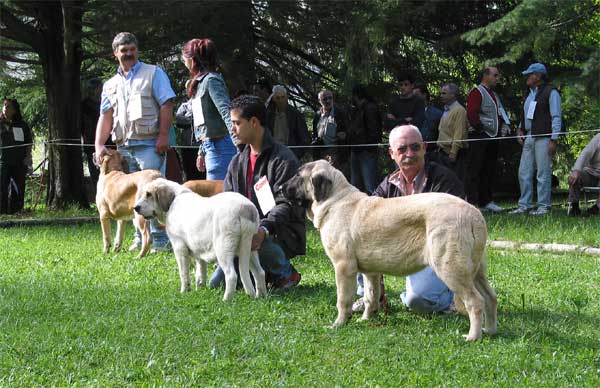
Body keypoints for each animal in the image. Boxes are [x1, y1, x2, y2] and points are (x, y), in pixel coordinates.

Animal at [137, 177, 268, 302]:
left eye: (149, 194)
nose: (136, 207)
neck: (173, 200)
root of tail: (246, 208)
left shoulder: (179, 247)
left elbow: (184, 273)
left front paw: (184, 292)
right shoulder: (199, 251)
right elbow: (200, 272)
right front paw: (200, 290)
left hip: (223, 249)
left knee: (231, 275)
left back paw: (226, 300)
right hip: (250, 248)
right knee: (260, 272)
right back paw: (260, 297)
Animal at [282, 159, 496, 342]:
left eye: (298, 176)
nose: (280, 188)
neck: (334, 200)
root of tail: (474, 214)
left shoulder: (344, 267)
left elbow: (343, 300)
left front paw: (338, 324)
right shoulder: (370, 272)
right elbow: (371, 296)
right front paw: (366, 319)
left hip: (450, 267)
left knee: (475, 301)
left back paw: (473, 336)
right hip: (475, 270)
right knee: (490, 298)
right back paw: (489, 330)